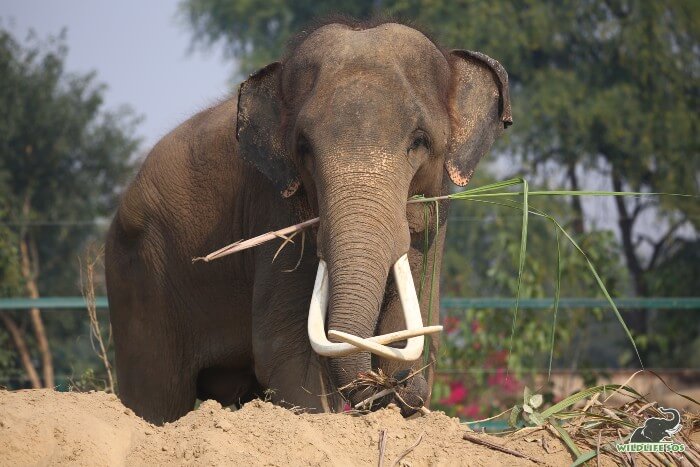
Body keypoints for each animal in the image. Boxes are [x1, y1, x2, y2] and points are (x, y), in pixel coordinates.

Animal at [104, 19, 512, 428]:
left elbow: (415, 324)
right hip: (140, 282)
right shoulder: (275, 207)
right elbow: (284, 350)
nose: (396, 385)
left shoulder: (436, 219)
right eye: (303, 147)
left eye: (420, 142)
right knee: (156, 396)